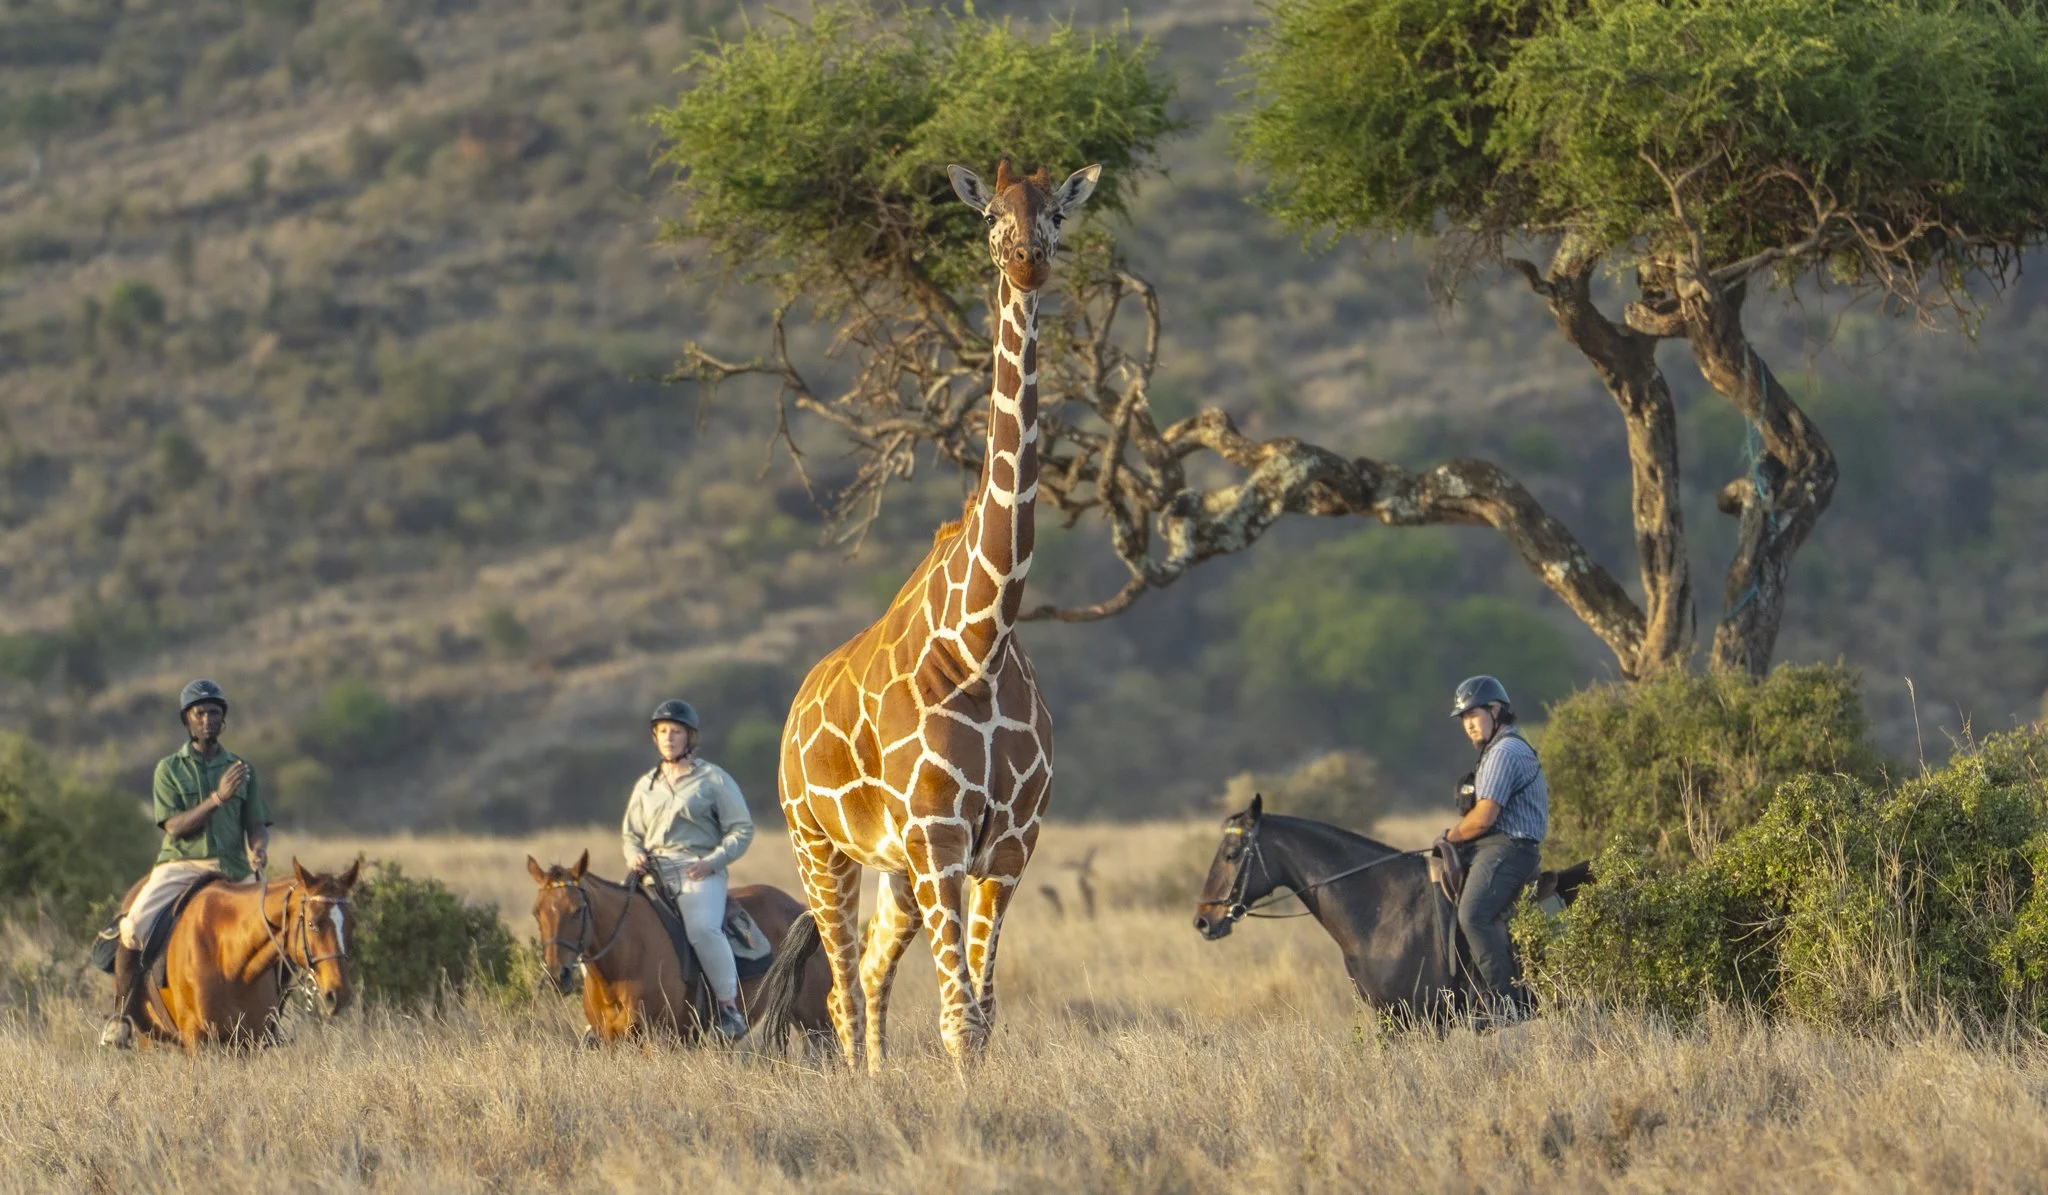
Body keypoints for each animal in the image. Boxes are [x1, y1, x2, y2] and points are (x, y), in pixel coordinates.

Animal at [124, 857, 360, 1052]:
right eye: (312, 924)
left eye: (352, 924)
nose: (339, 995)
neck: (230, 962)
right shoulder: (197, 1039)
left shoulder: (248, 1041)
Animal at [525, 851, 832, 1049]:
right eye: (536, 912)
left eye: (577, 910)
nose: (558, 974)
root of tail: (806, 910)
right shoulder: (610, 1041)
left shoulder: (657, 1040)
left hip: (816, 1019)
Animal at [778, 159, 1101, 1069]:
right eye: (989, 215)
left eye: (1058, 212)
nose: (1027, 259)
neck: (980, 642)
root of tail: (792, 711)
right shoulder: (941, 838)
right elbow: (958, 1015)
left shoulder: (1007, 848)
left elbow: (982, 1014)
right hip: (819, 844)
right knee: (843, 987)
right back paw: (863, 1081)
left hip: (894, 868)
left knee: (869, 976)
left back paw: (879, 1079)